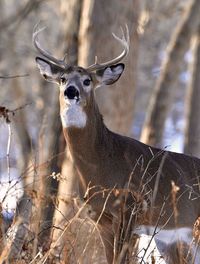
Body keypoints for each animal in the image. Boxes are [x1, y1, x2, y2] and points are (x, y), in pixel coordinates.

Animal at [33, 26, 200, 262]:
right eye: (63, 79)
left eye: (87, 80)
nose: (71, 91)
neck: (100, 164)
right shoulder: (100, 219)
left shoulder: (130, 208)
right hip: (172, 237)